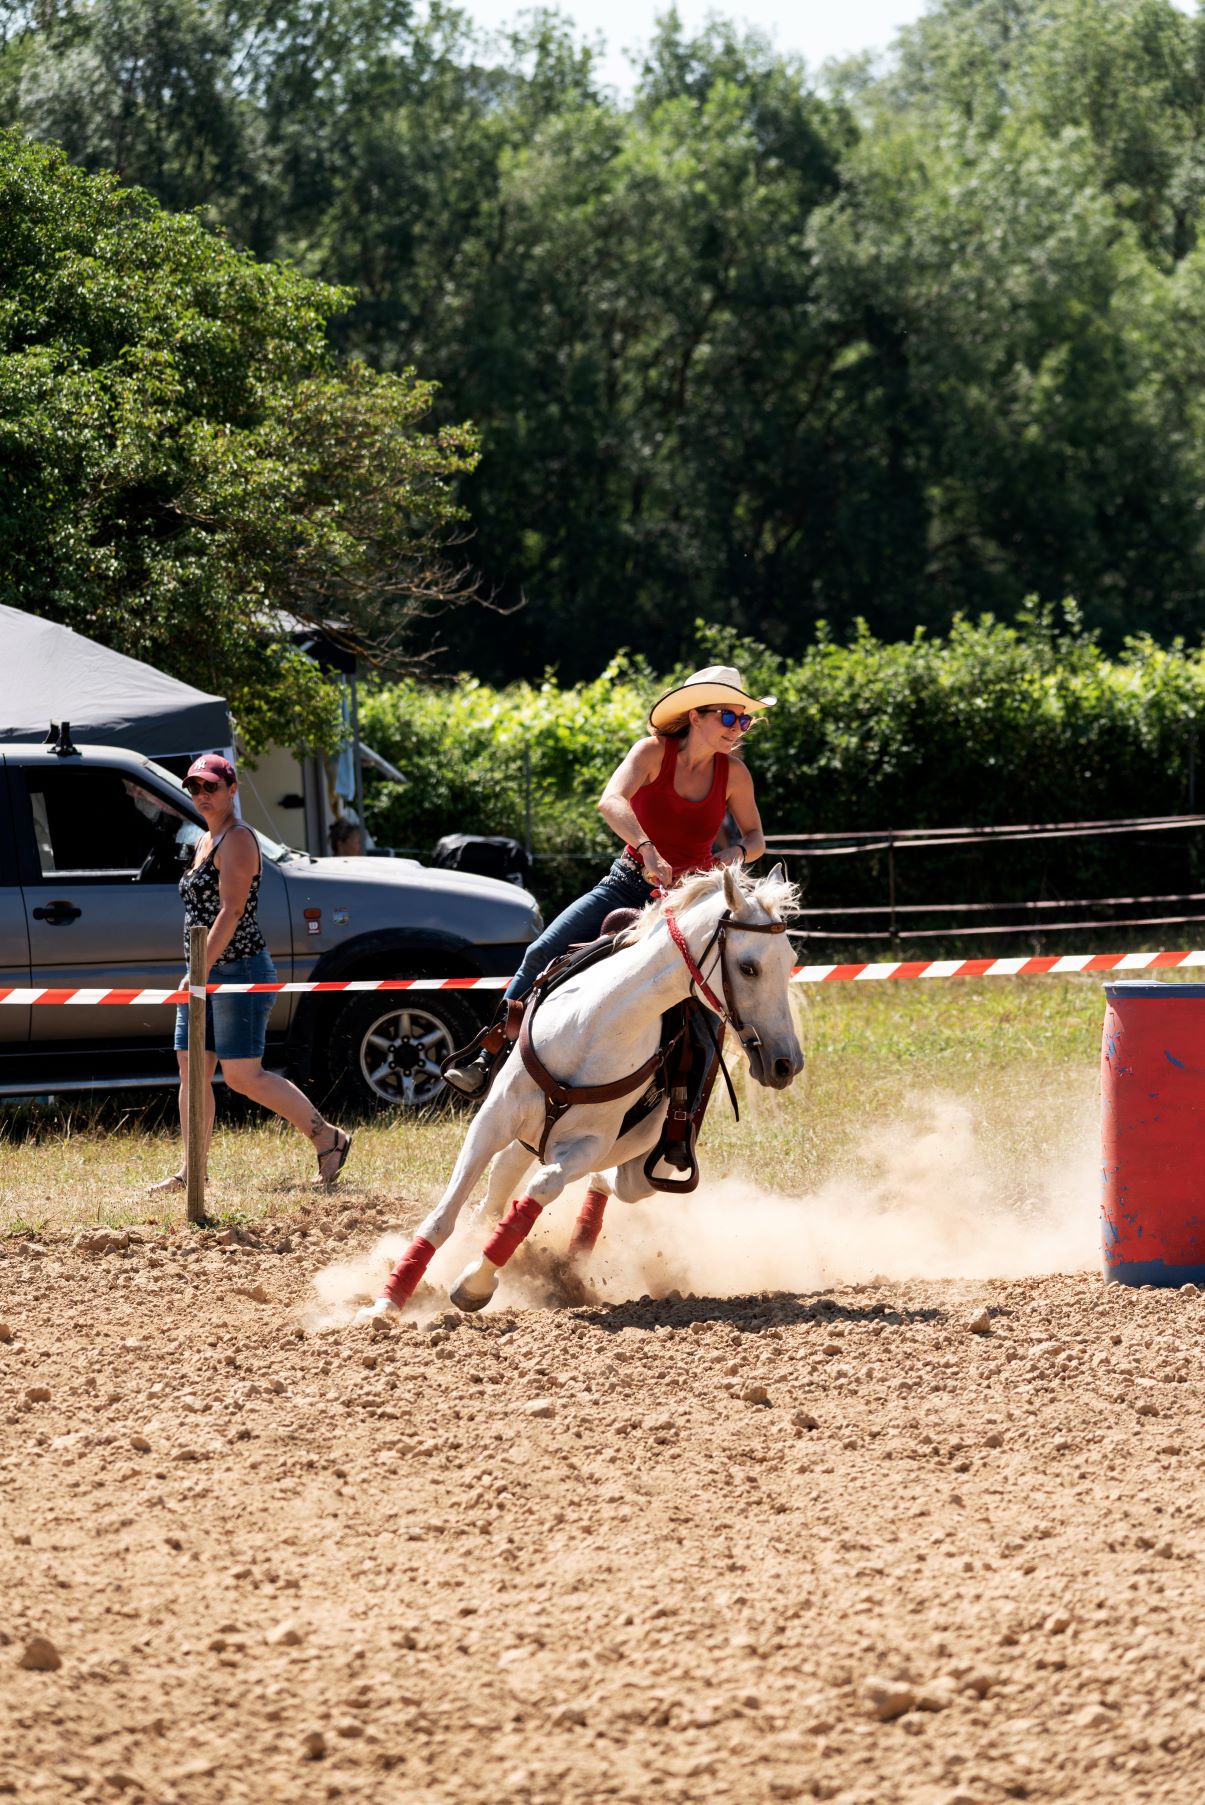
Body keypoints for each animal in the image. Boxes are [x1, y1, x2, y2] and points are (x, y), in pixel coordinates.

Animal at [356, 862, 803, 1321]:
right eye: (749, 967)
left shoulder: (586, 1145)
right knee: (502, 1178)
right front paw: (386, 1303)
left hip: (642, 1168)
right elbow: (445, 1213)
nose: (786, 1063)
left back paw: (569, 1258)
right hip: (531, 1136)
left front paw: (474, 1283)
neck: (593, 1025)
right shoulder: (493, 1120)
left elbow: (539, 1192)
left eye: (791, 961)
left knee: (604, 1182)